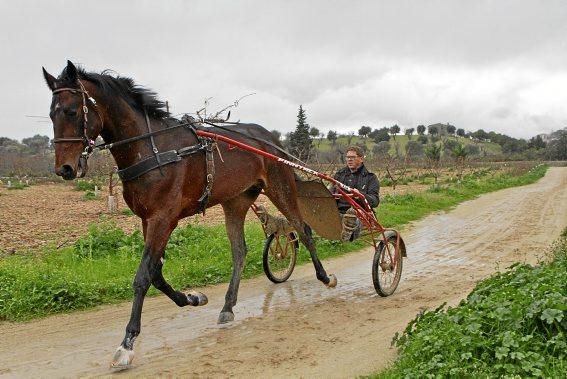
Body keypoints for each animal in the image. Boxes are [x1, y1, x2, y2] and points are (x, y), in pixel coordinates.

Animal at [44, 60, 338, 370]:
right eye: (51, 114)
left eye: (72, 111)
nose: (64, 169)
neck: (153, 148)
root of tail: (269, 138)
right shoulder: (148, 220)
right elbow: (156, 274)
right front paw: (192, 298)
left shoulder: (164, 219)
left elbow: (143, 276)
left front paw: (127, 344)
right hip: (235, 202)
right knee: (240, 251)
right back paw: (228, 306)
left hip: (280, 187)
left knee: (303, 230)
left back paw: (324, 277)